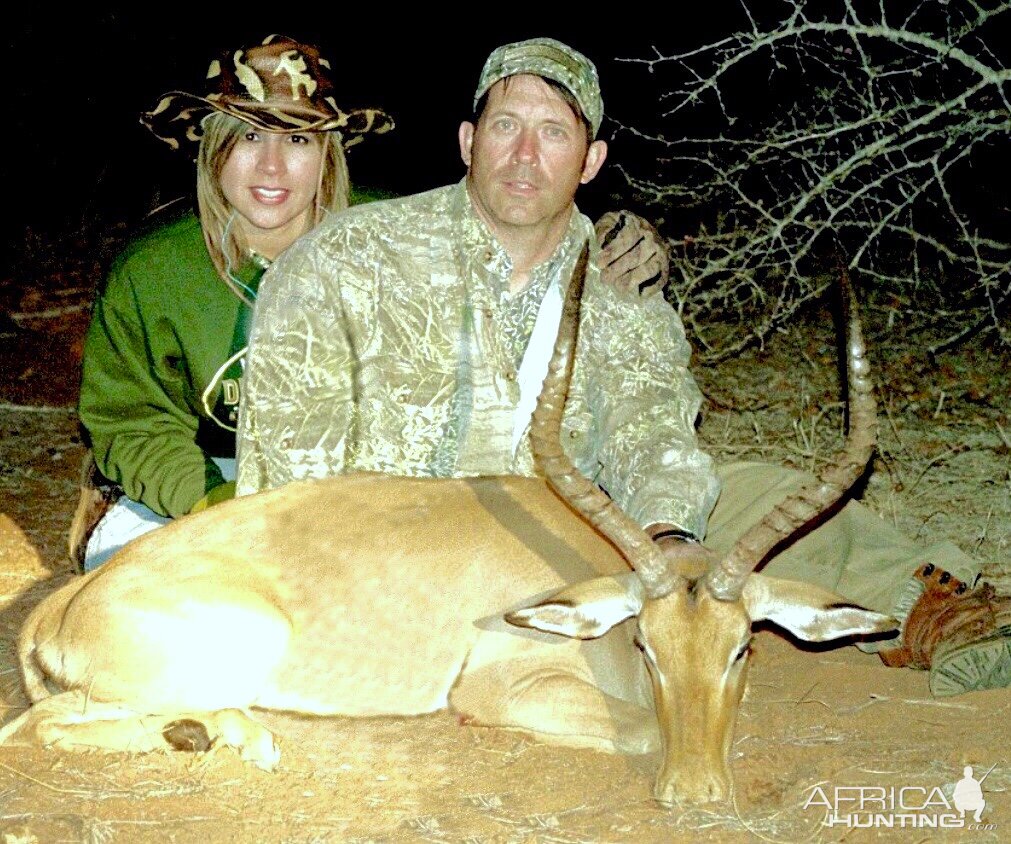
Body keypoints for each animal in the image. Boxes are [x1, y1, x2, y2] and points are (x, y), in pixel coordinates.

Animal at [0, 250, 901, 804]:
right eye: (646, 644)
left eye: (741, 647)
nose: (695, 794)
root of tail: (62, 608)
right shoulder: (500, 686)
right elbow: (641, 726)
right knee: (34, 726)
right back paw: (234, 738)